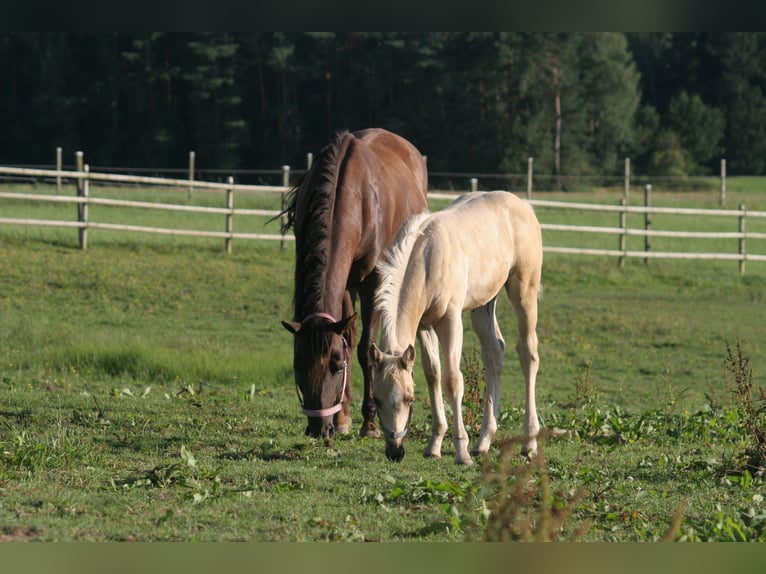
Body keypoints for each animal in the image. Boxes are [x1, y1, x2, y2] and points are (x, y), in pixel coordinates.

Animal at [282, 127, 428, 440]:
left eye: (336, 365)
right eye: (298, 366)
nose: (318, 428)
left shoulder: (371, 282)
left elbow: (365, 350)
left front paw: (370, 423)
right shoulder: (346, 282)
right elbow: (348, 336)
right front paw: (343, 418)